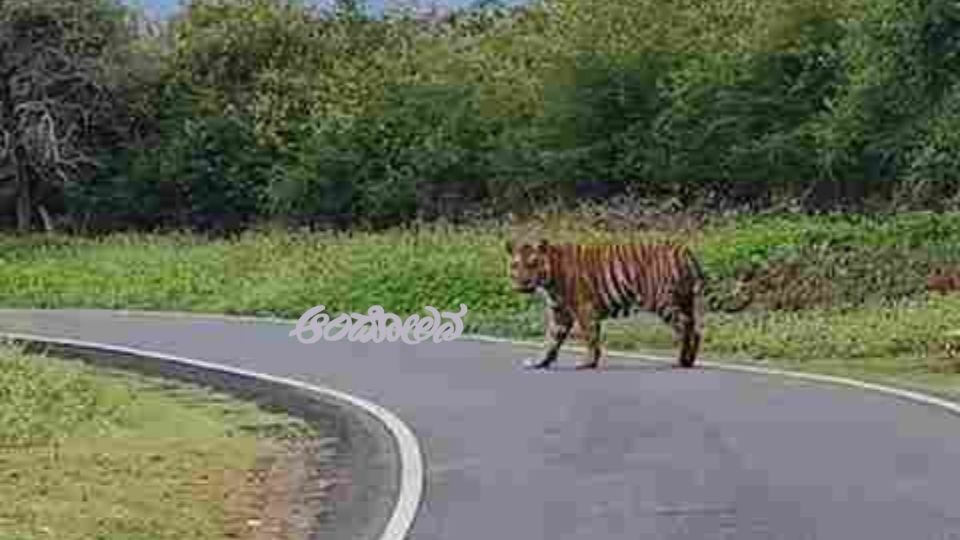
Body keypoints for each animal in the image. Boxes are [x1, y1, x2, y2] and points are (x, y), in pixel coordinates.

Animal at [506, 238, 706, 370]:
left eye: (533, 264)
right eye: (516, 265)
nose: (523, 283)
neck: (549, 278)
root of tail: (683, 250)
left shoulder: (583, 309)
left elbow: (590, 337)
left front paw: (588, 362)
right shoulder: (559, 312)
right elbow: (552, 338)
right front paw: (540, 362)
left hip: (662, 301)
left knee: (684, 325)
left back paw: (680, 361)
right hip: (685, 300)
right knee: (695, 329)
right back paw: (689, 360)